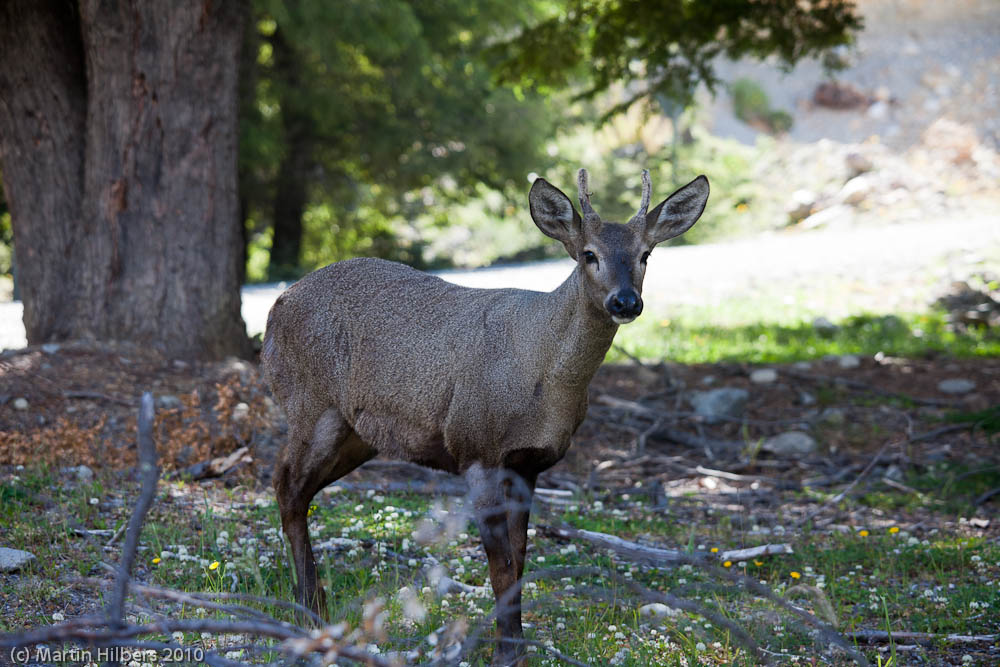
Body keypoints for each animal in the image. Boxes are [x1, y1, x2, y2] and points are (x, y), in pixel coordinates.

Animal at [261, 167, 709, 666]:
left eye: (645, 254)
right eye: (589, 254)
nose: (626, 302)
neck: (543, 376)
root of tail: (275, 308)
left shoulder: (529, 464)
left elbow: (520, 559)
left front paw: (516, 645)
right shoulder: (476, 447)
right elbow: (499, 565)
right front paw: (505, 652)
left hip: (357, 433)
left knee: (301, 490)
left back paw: (312, 604)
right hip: (309, 403)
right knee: (285, 483)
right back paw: (308, 610)